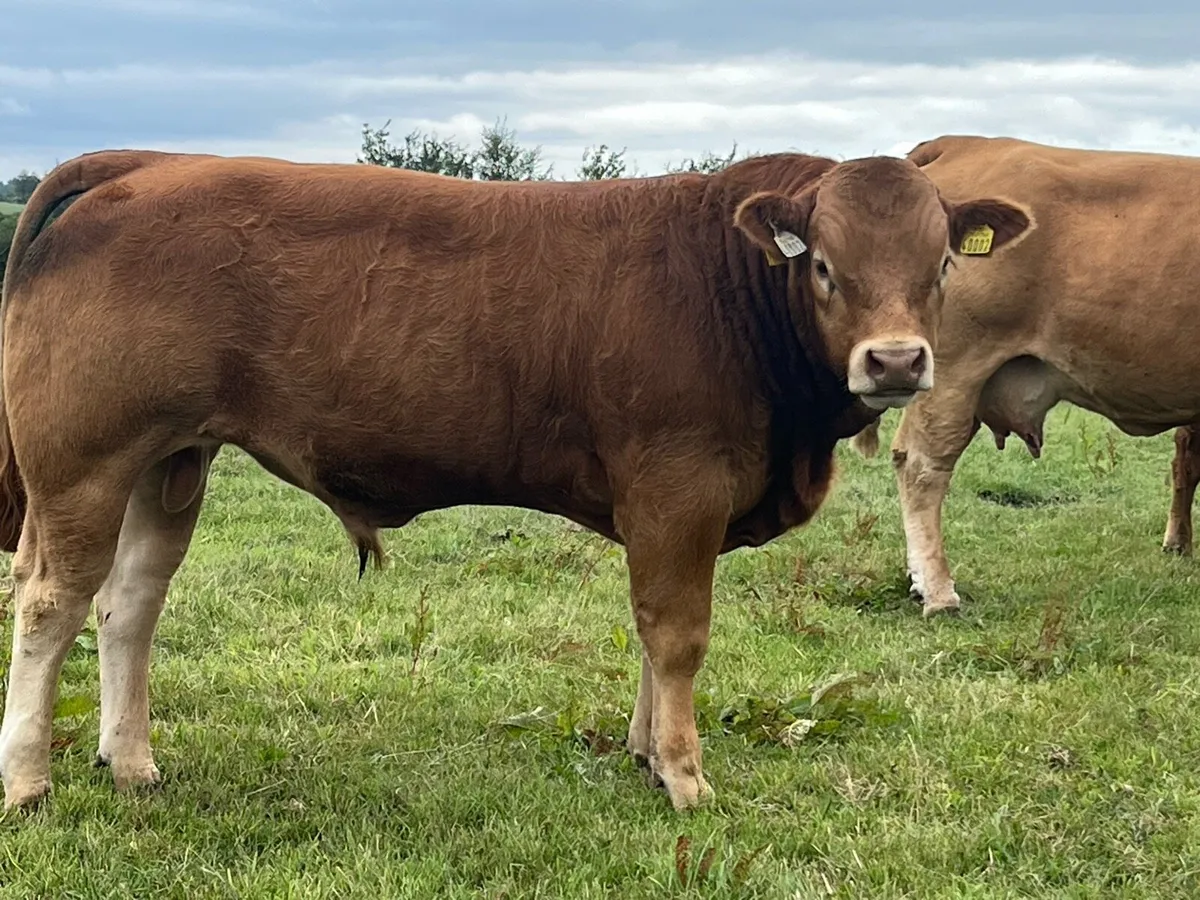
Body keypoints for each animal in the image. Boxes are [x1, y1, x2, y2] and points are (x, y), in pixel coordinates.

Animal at [0, 147, 1029, 812]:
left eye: (942, 263)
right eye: (822, 266)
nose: (895, 361)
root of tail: (142, 165)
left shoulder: (664, 509)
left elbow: (650, 630)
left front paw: (646, 752)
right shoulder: (679, 486)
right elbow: (679, 633)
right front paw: (685, 775)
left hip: (168, 461)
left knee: (129, 605)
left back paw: (131, 763)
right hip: (82, 464)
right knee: (50, 604)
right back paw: (28, 778)